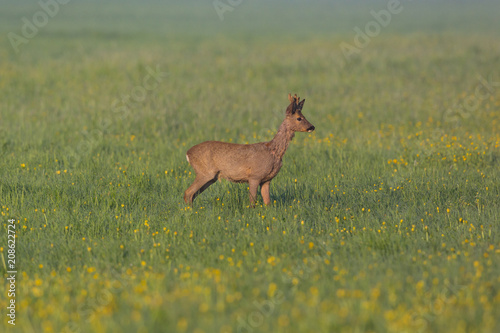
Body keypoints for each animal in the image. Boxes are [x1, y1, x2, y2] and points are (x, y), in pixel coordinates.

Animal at [186, 93, 314, 206]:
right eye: (299, 118)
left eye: (304, 116)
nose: (312, 127)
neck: (274, 151)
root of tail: (188, 153)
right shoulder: (254, 176)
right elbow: (252, 201)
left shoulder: (267, 180)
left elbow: (268, 202)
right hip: (204, 172)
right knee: (188, 193)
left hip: (211, 177)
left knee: (192, 194)